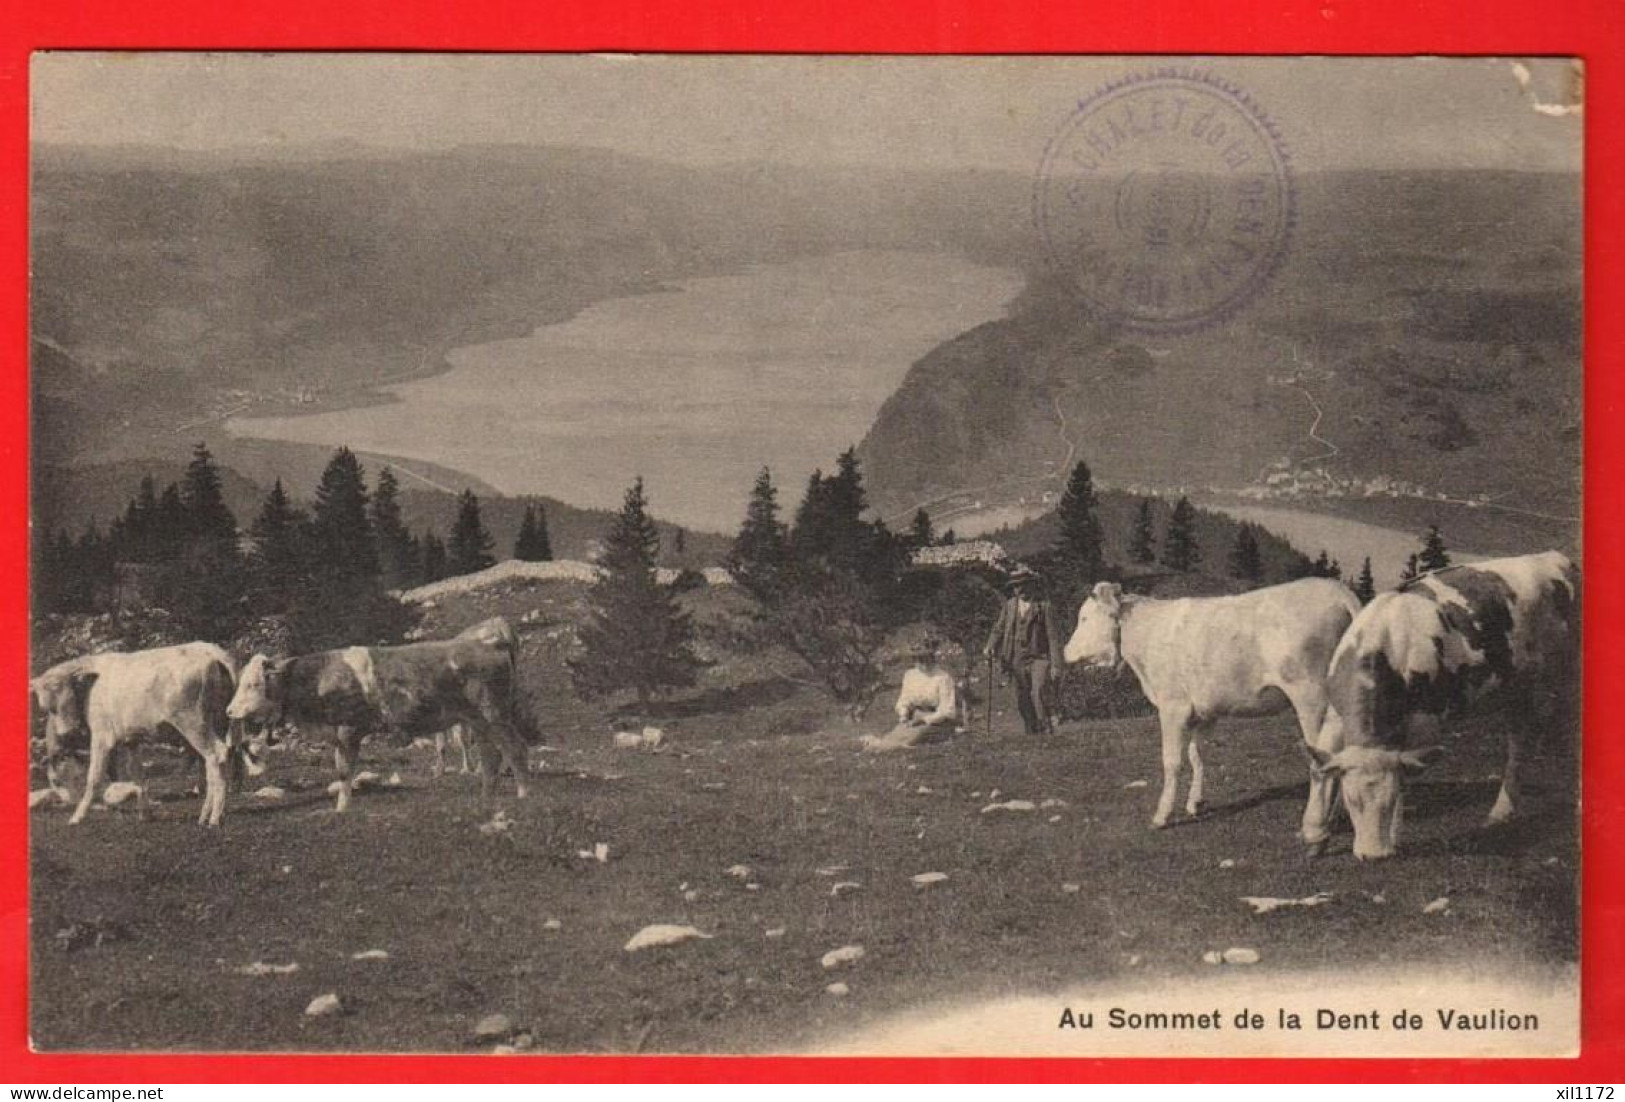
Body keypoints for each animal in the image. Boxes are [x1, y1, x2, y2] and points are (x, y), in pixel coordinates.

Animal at [28, 646, 238, 828]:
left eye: (67, 699)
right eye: (46, 707)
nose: (65, 732)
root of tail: (211, 652)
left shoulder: (102, 736)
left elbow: (94, 776)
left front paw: (77, 816)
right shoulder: (132, 740)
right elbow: (137, 775)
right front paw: (145, 813)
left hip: (192, 722)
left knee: (216, 755)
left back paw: (214, 818)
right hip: (218, 722)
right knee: (213, 762)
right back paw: (207, 814)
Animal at [227, 617, 533, 815]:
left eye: (253, 684)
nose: (229, 711)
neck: (318, 679)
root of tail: (492, 643)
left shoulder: (349, 729)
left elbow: (346, 772)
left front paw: (343, 809)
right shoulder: (337, 735)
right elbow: (340, 771)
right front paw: (341, 808)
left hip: (494, 714)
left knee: (516, 748)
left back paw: (524, 796)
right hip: (477, 721)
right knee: (491, 758)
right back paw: (486, 801)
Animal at [1059, 581, 1365, 832]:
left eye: (1084, 618)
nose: (1064, 652)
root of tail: (1337, 590)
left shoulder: (1173, 706)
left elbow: (1172, 761)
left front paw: (1162, 815)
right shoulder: (1204, 710)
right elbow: (1197, 755)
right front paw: (1195, 803)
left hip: (1311, 697)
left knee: (1324, 756)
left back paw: (1316, 820)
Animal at [1300, 552, 1579, 864]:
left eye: (1389, 800)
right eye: (1351, 801)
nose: (1373, 856)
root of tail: (1554, 557)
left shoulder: (1424, 721)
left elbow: (1406, 774)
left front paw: (1394, 837)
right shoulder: (1335, 714)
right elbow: (1319, 768)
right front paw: (1315, 834)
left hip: (1566, 672)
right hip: (1515, 688)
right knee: (1519, 740)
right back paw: (1502, 811)